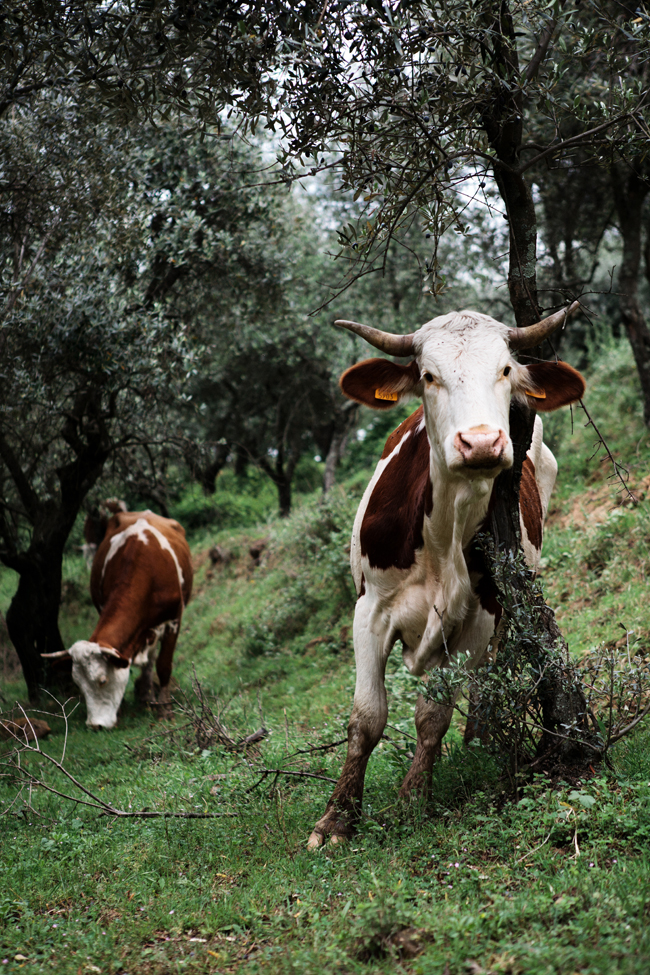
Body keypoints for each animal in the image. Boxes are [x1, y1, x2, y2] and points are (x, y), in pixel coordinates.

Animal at [42, 516, 190, 728]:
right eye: (78, 684)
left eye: (102, 680)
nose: (95, 725)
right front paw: (122, 711)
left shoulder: (173, 621)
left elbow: (163, 666)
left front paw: (165, 711)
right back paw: (146, 697)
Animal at [306, 304, 584, 848]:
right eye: (429, 376)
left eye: (505, 369)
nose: (481, 443)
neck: (443, 535)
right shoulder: (369, 610)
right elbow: (367, 717)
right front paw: (337, 817)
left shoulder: (481, 615)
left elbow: (432, 714)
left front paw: (413, 799)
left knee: (484, 677)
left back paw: (477, 740)